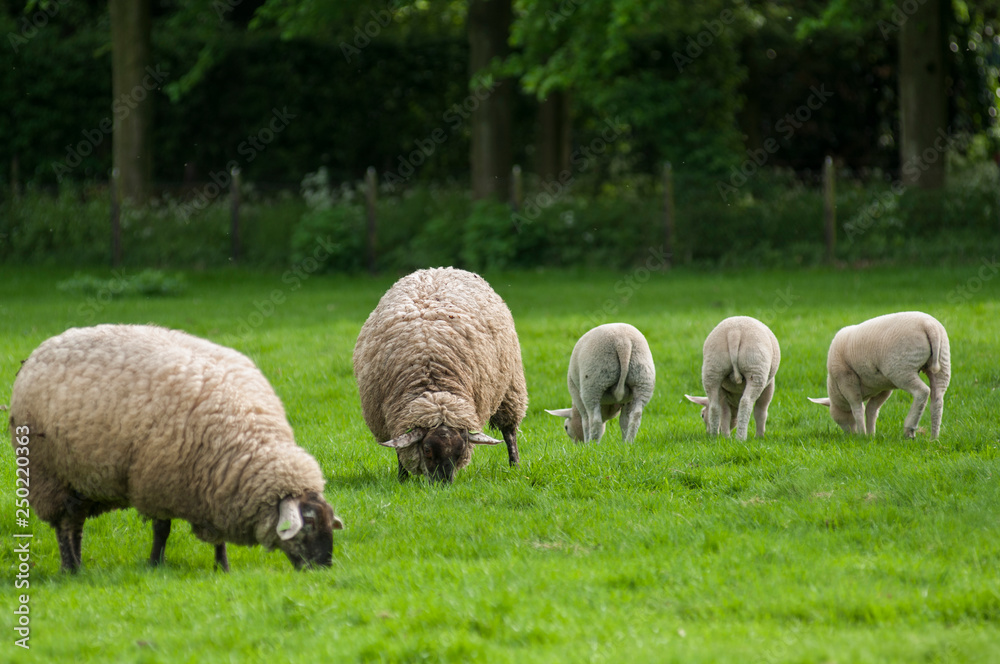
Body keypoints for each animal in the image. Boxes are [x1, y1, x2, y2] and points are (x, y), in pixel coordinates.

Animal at [6, 324, 344, 572]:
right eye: (309, 526)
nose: (324, 570)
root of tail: (45, 346)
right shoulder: (158, 483)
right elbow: (161, 529)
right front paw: (155, 564)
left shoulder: (213, 490)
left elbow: (217, 538)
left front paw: (222, 567)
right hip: (48, 474)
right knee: (64, 524)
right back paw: (71, 569)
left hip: (80, 480)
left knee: (74, 522)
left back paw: (77, 565)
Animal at [354, 268, 532, 486]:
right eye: (427, 450)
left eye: (460, 451)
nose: (443, 484)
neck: (434, 386)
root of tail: (440, 269)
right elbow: (400, 447)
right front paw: (402, 479)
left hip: (511, 388)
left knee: (509, 432)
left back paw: (515, 466)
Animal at [804, 312, 952, 440]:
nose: (850, 435)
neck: (835, 387)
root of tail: (930, 327)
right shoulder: (884, 387)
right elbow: (872, 409)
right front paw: (870, 435)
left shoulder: (846, 379)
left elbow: (858, 408)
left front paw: (862, 435)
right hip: (943, 361)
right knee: (937, 399)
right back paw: (934, 438)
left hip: (902, 369)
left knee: (922, 392)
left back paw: (909, 429)